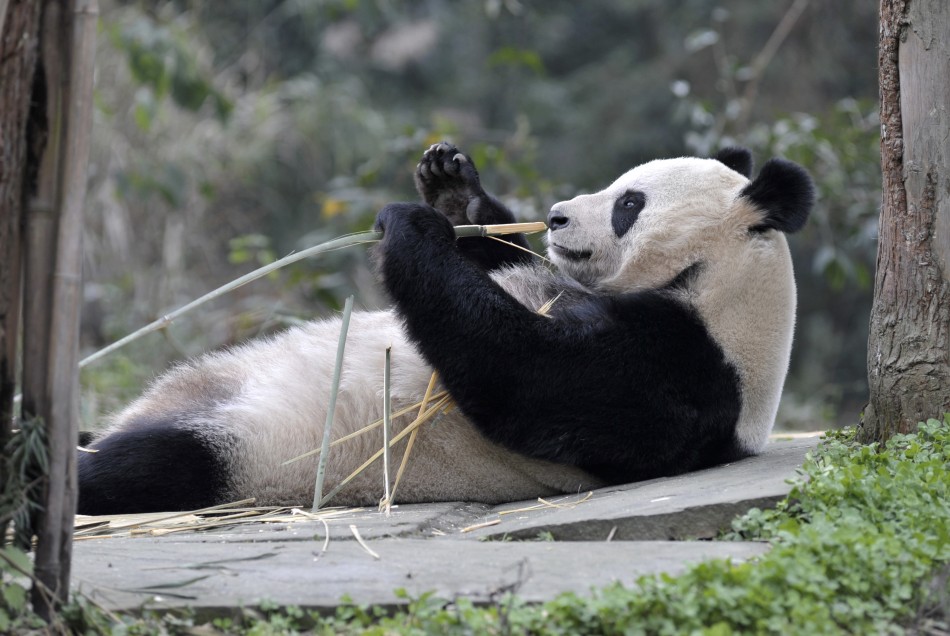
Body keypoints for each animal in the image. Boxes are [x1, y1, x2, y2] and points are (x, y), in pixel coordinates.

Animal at [76, 142, 820, 516]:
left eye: (628, 205)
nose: (556, 216)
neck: (720, 289)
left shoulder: (683, 371)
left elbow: (528, 379)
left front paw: (413, 227)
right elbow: (501, 265)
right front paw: (452, 190)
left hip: (259, 449)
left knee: (149, 465)